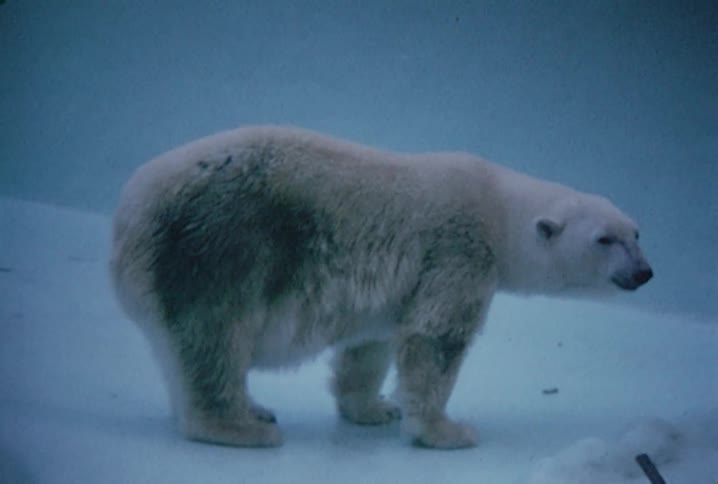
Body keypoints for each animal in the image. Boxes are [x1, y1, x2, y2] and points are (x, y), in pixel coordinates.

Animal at [110, 126, 652, 449]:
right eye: (605, 239)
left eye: (636, 232)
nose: (644, 273)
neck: (498, 207)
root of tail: (131, 217)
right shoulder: (458, 249)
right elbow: (436, 338)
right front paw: (448, 430)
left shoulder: (392, 290)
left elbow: (369, 346)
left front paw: (374, 409)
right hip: (222, 244)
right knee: (216, 335)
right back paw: (242, 426)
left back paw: (254, 409)